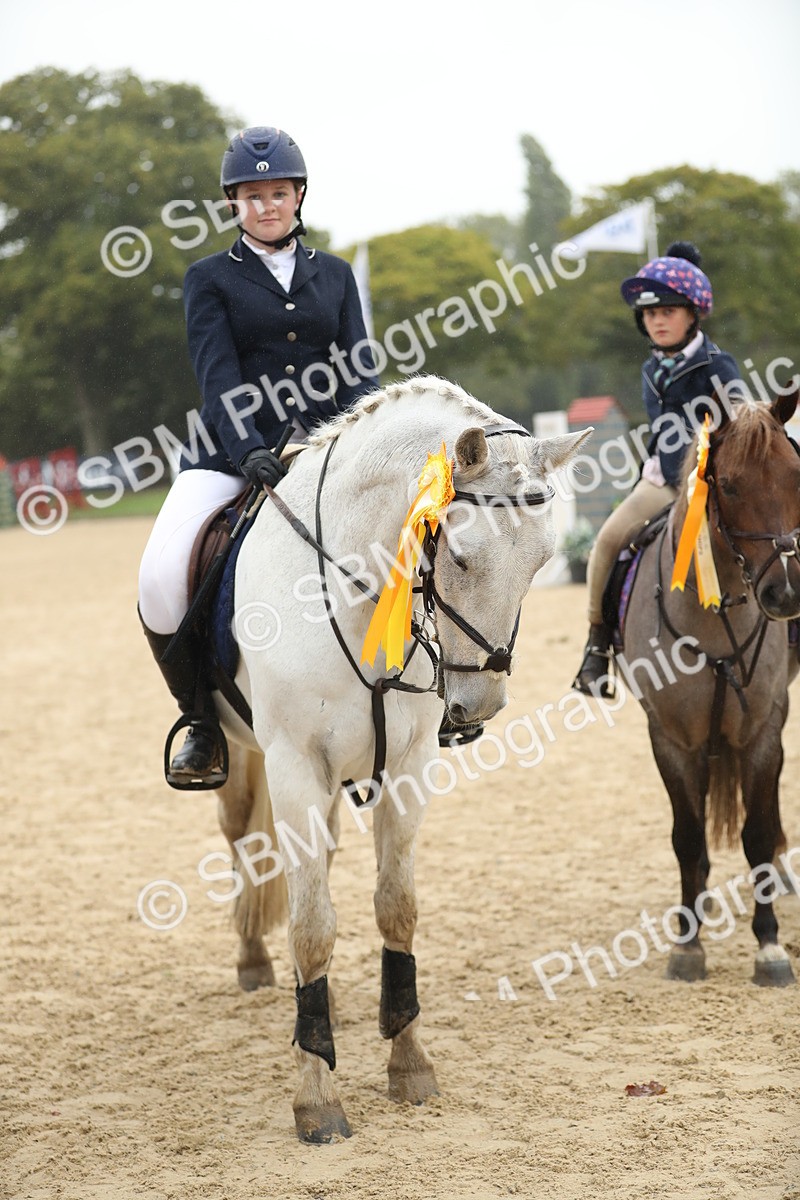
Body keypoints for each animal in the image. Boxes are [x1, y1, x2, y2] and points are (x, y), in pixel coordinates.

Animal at [210, 376, 591, 1142]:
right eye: (462, 556)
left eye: (541, 564)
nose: (478, 707)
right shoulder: (295, 767)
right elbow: (311, 927)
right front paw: (316, 1097)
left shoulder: (409, 766)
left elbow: (397, 910)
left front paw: (409, 1063)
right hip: (242, 757)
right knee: (243, 840)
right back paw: (255, 961)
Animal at [619, 387, 800, 987]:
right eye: (732, 485)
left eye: (796, 476)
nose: (785, 594)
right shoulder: (673, 739)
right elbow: (688, 836)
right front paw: (688, 943)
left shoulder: (762, 731)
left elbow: (757, 833)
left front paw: (770, 947)